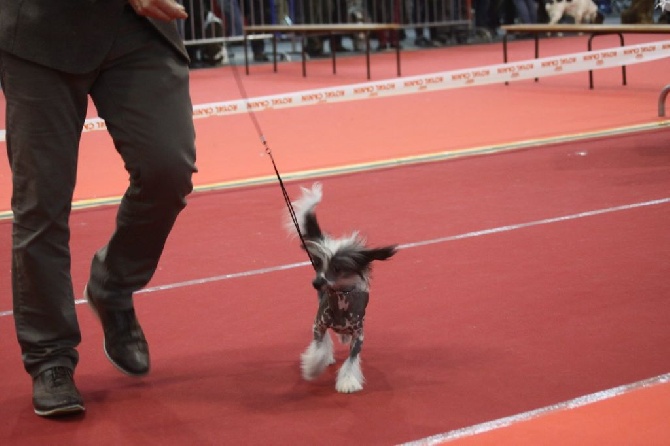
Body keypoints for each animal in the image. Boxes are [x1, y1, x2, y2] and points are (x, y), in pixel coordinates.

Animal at [284, 183, 400, 392]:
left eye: (338, 268)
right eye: (317, 263)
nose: (316, 283)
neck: (341, 301)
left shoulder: (359, 335)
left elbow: (351, 359)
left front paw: (347, 381)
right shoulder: (319, 325)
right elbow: (319, 348)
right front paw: (313, 368)